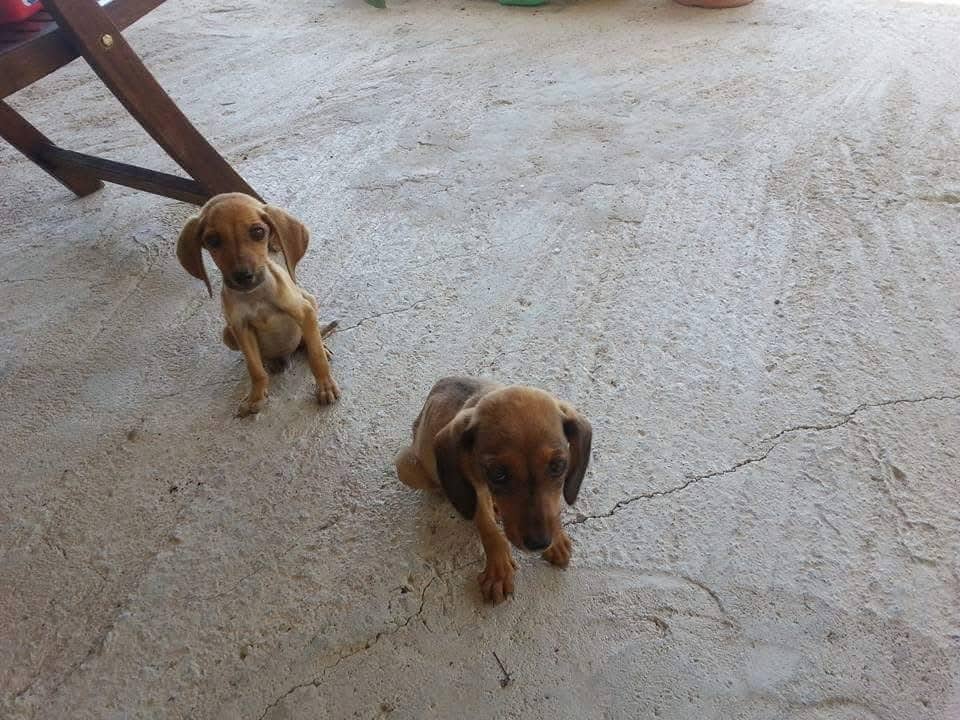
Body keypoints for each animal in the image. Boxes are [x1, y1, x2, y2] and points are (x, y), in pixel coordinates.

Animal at [176, 193, 340, 416]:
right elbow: (254, 369)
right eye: (212, 240)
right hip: (227, 334)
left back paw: (319, 346)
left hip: (310, 300)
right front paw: (256, 396)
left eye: (258, 232)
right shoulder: (240, 328)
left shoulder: (304, 311)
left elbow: (316, 357)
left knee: (309, 341)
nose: (243, 276)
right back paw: (272, 362)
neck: (255, 297)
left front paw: (325, 386)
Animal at [395, 377, 592, 604]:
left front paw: (557, 540)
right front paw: (499, 571)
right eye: (498, 473)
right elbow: (489, 528)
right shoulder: (475, 488)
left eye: (558, 466)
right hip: (405, 466)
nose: (539, 543)